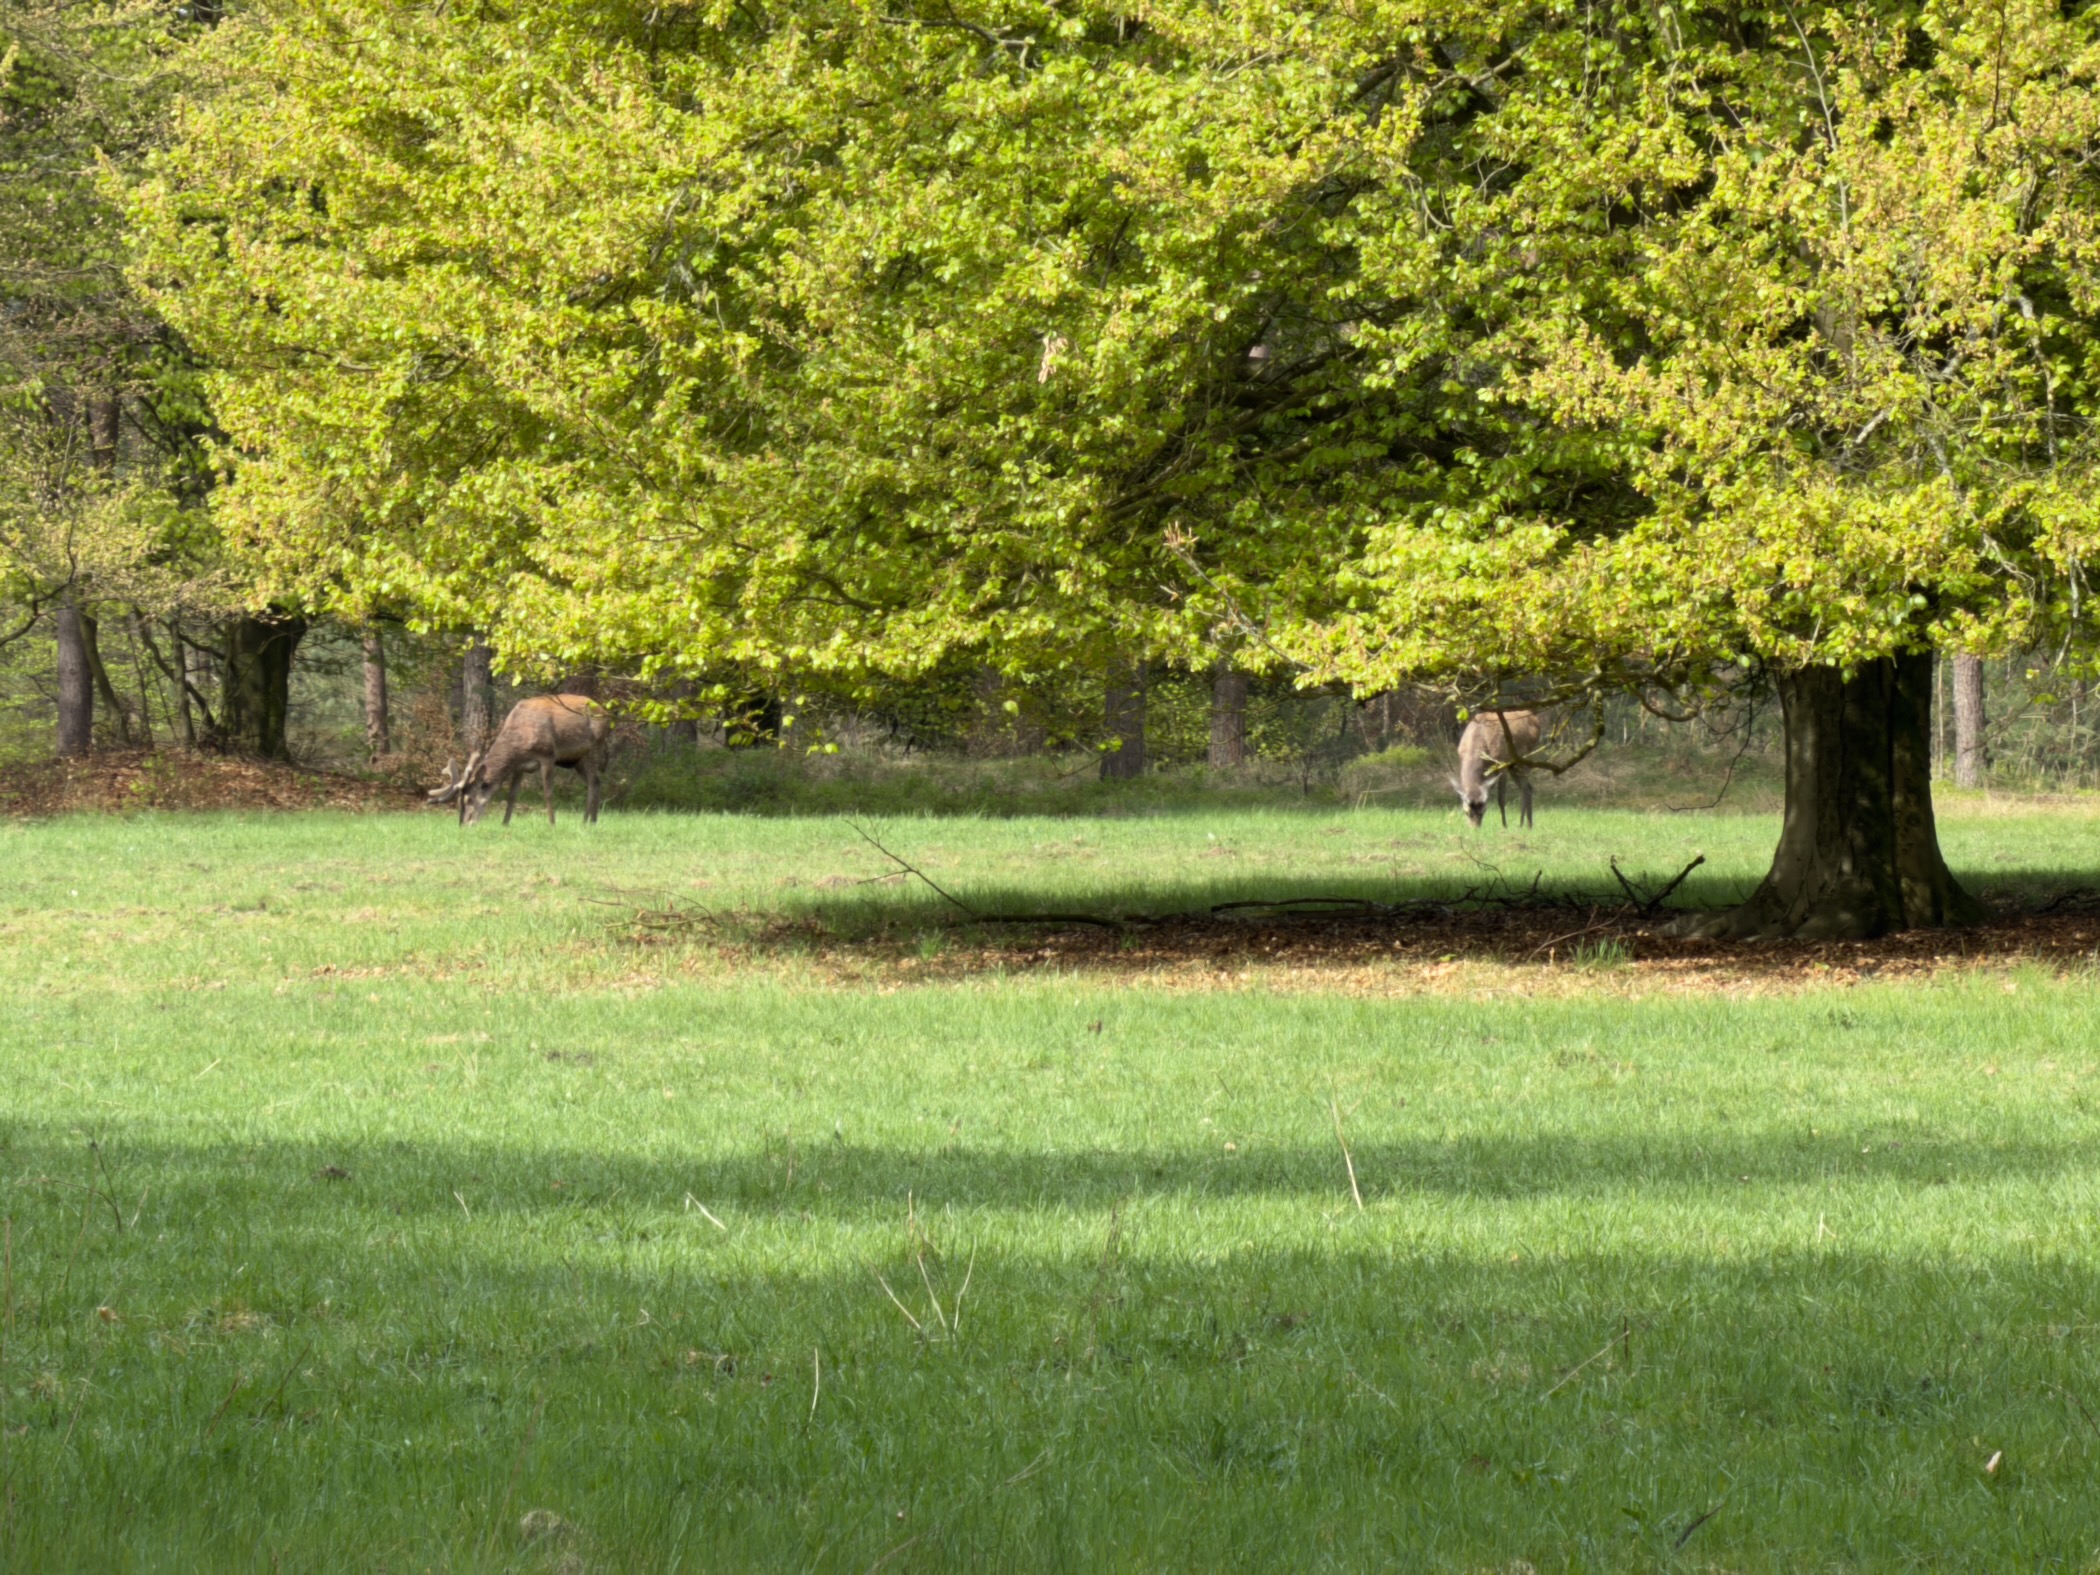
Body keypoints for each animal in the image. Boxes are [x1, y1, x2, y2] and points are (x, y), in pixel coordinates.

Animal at [428, 695, 611, 826]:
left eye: (469, 799)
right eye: (460, 801)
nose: (464, 825)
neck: (519, 744)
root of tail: (605, 712)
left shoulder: (547, 755)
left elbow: (548, 793)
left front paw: (552, 824)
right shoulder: (519, 766)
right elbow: (512, 795)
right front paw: (504, 823)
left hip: (594, 747)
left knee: (594, 781)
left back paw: (588, 821)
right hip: (576, 759)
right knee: (595, 782)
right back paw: (590, 821)